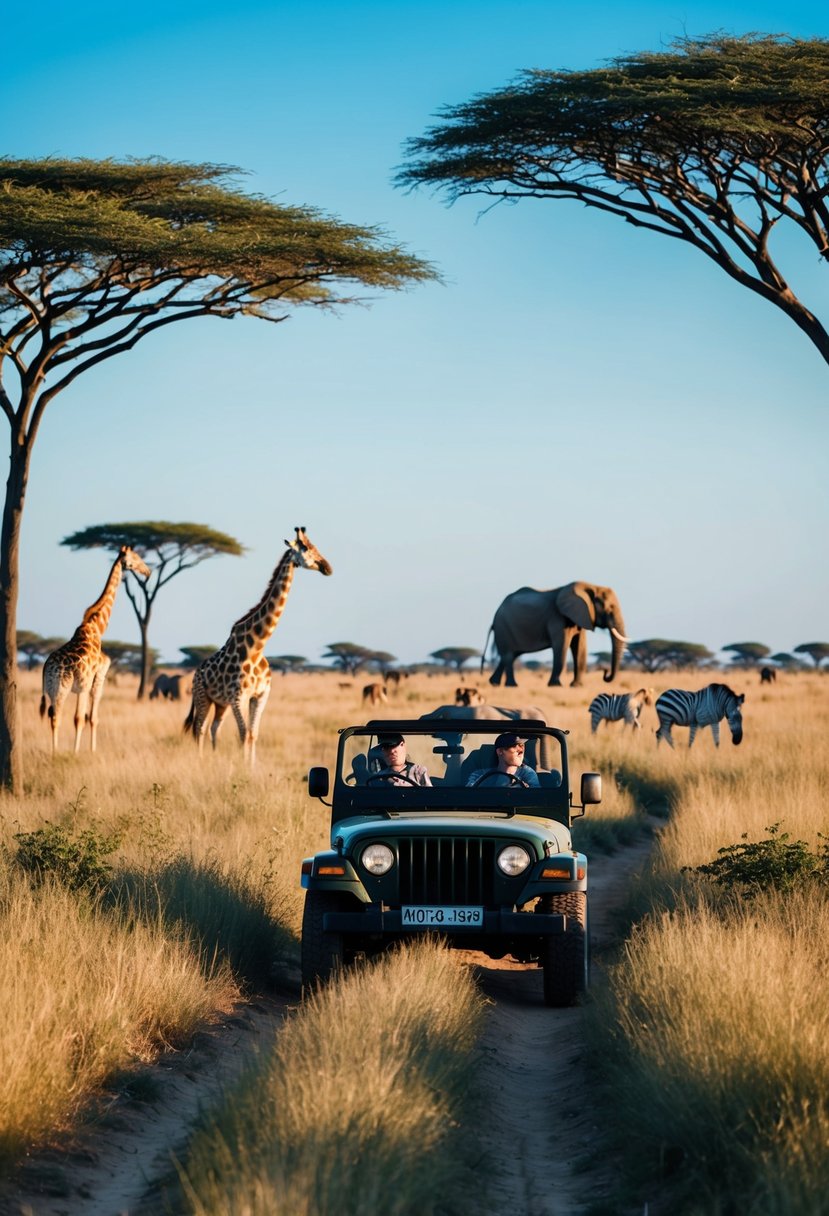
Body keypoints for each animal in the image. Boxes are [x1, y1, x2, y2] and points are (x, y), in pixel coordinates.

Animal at [39, 549, 151, 753]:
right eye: (136, 557)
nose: (148, 572)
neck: (97, 626)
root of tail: (47, 668)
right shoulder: (96, 679)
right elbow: (88, 718)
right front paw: (87, 751)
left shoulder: (87, 684)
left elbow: (86, 717)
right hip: (62, 688)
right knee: (61, 716)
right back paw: (58, 753)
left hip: (50, 689)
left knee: (52, 716)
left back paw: (54, 752)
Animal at [183, 530, 333, 763]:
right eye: (305, 548)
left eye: (315, 545)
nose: (327, 567)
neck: (256, 647)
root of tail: (196, 671)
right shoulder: (239, 697)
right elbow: (243, 733)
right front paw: (242, 767)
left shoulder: (260, 696)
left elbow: (253, 733)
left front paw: (250, 767)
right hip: (202, 696)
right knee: (199, 728)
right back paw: (200, 762)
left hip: (220, 703)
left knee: (213, 728)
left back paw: (213, 759)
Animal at [481, 581, 622, 690]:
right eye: (610, 608)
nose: (605, 671)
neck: (590, 586)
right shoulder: (557, 618)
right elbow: (561, 646)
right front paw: (556, 685)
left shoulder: (580, 617)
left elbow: (580, 648)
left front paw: (577, 686)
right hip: (503, 628)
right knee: (509, 656)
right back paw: (512, 686)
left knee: (508, 656)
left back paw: (494, 683)